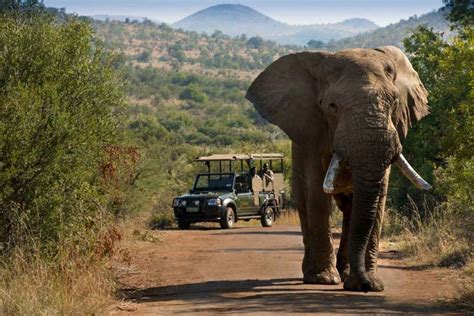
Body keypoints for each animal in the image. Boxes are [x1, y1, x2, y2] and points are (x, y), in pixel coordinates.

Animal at [246, 45, 432, 292]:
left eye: (394, 103)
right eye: (332, 106)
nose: (366, 285)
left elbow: (379, 198)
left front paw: (371, 284)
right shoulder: (313, 134)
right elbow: (317, 194)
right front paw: (324, 279)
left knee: (350, 208)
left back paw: (345, 274)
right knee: (305, 202)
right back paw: (315, 273)